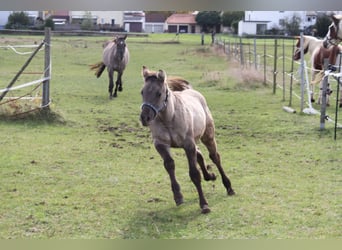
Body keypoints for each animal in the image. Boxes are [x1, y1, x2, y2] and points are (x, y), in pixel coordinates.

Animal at [140, 67, 235, 215]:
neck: (169, 119)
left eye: (159, 93)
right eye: (142, 92)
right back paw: (210, 176)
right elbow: (169, 165)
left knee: (215, 157)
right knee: (200, 154)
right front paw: (178, 196)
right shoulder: (160, 145)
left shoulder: (188, 144)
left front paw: (204, 205)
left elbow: (194, 174)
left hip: (207, 136)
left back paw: (228, 187)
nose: (144, 118)